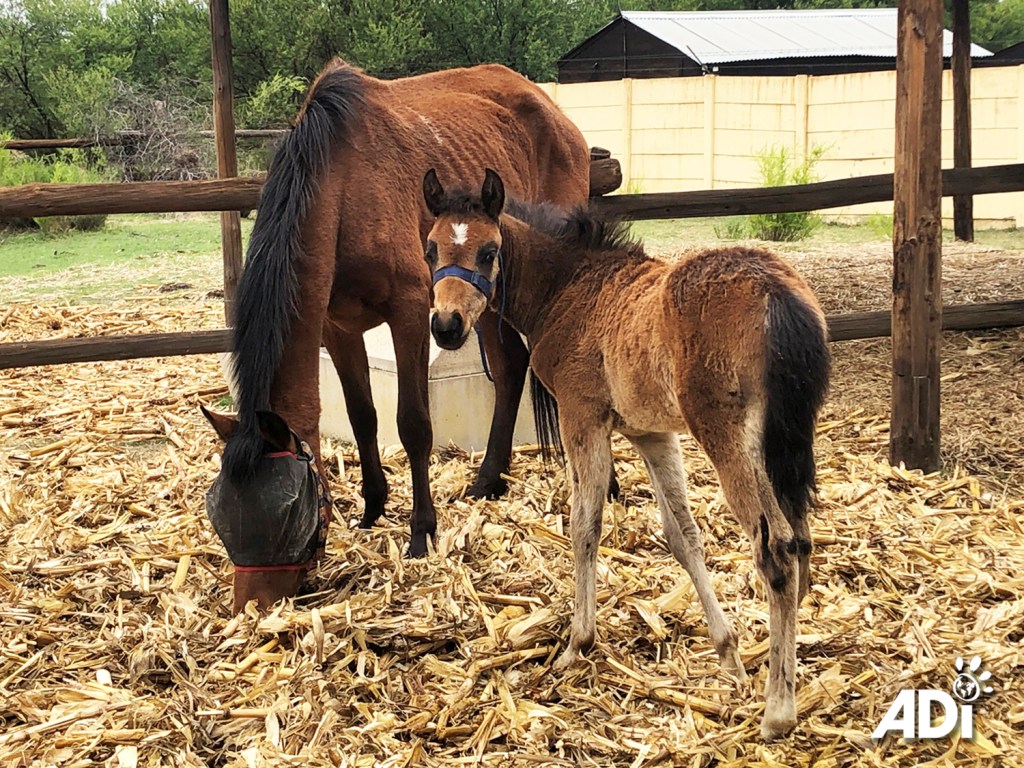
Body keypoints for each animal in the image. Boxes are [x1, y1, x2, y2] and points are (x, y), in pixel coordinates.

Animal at [201, 59, 592, 613]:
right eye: (219, 513)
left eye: (287, 511)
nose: (251, 606)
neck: (341, 184)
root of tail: (551, 110)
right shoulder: (336, 328)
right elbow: (363, 417)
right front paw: (372, 507)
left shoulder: (412, 313)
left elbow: (413, 425)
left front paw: (421, 531)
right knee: (510, 366)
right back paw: (489, 477)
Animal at [422, 168, 830, 740]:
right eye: (432, 247)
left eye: (488, 251)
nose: (447, 325)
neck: (570, 287)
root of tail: (776, 294)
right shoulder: (651, 434)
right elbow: (683, 537)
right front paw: (727, 653)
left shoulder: (582, 417)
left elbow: (584, 527)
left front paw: (577, 644)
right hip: (779, 444)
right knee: (802, 537)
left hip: (727, 438)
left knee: (777, 549)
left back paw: (778, 710)